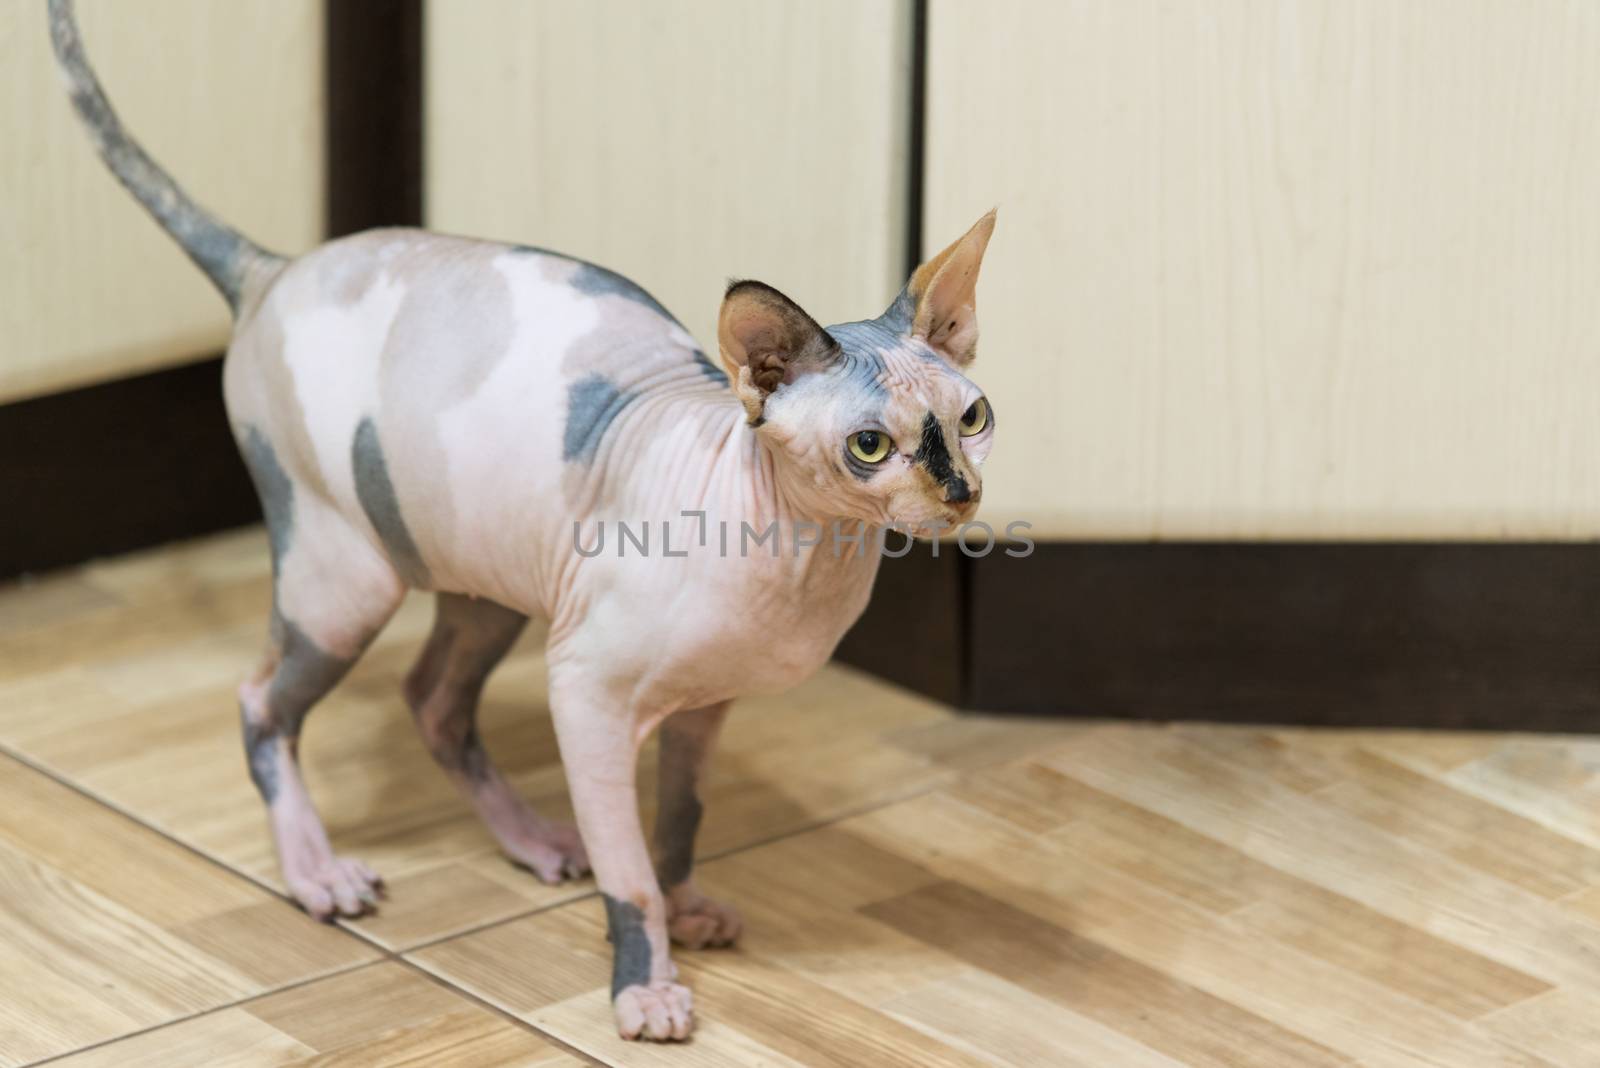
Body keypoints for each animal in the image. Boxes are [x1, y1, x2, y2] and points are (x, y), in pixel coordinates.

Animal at [46, 0, 998, 1036]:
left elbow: (678, 827)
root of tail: (276, 269)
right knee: (263, 700)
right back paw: (316, 872)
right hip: (347, 573)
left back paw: (531, 840)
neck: (804, 565)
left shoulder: (705, 706)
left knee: (432, 699)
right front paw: (644, 985)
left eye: (972, 419)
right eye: (869, 446)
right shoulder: (586, 692)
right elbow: (629, 872)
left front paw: (687, 907)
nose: (960, 494)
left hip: (486, 573)